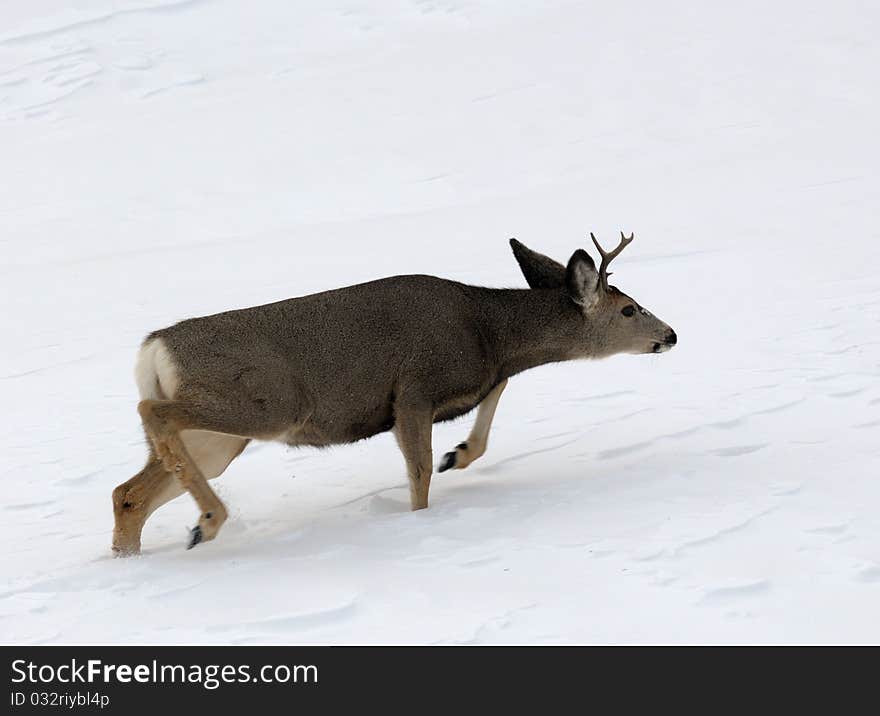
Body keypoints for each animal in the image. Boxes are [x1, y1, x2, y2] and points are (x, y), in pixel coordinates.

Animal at [113, 232, 676, 556]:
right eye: (628, 308)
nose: (670, 334)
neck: (488, 332)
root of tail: (154, 347)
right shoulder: (413, 389)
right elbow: (420, 472)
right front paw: (421, 517)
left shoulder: (469, 381)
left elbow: (495, 394)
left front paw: (459, 453)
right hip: (266, 405)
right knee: (151, 412)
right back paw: (208, 522)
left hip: (219, 440)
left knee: (128, 492)